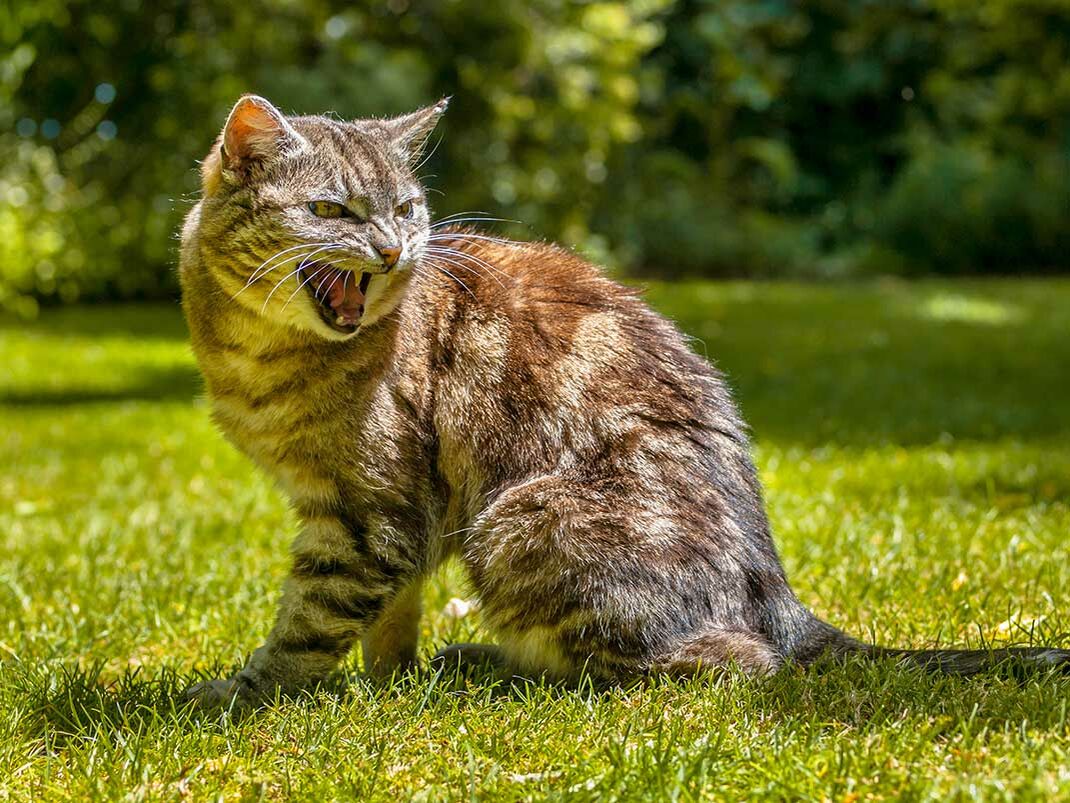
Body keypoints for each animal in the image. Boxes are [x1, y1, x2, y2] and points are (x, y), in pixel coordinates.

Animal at [179, 95, 1065, 710]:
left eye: (404, 208)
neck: (259, 356)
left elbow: (309, 623)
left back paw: (500, 671)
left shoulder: (371, 512)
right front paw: (387, 681)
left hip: (520, 520)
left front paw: (244, 695)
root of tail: (780, 598)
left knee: (718, 664)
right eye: (330, 210)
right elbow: (390, 618)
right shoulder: (398, 515)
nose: (395, 248)